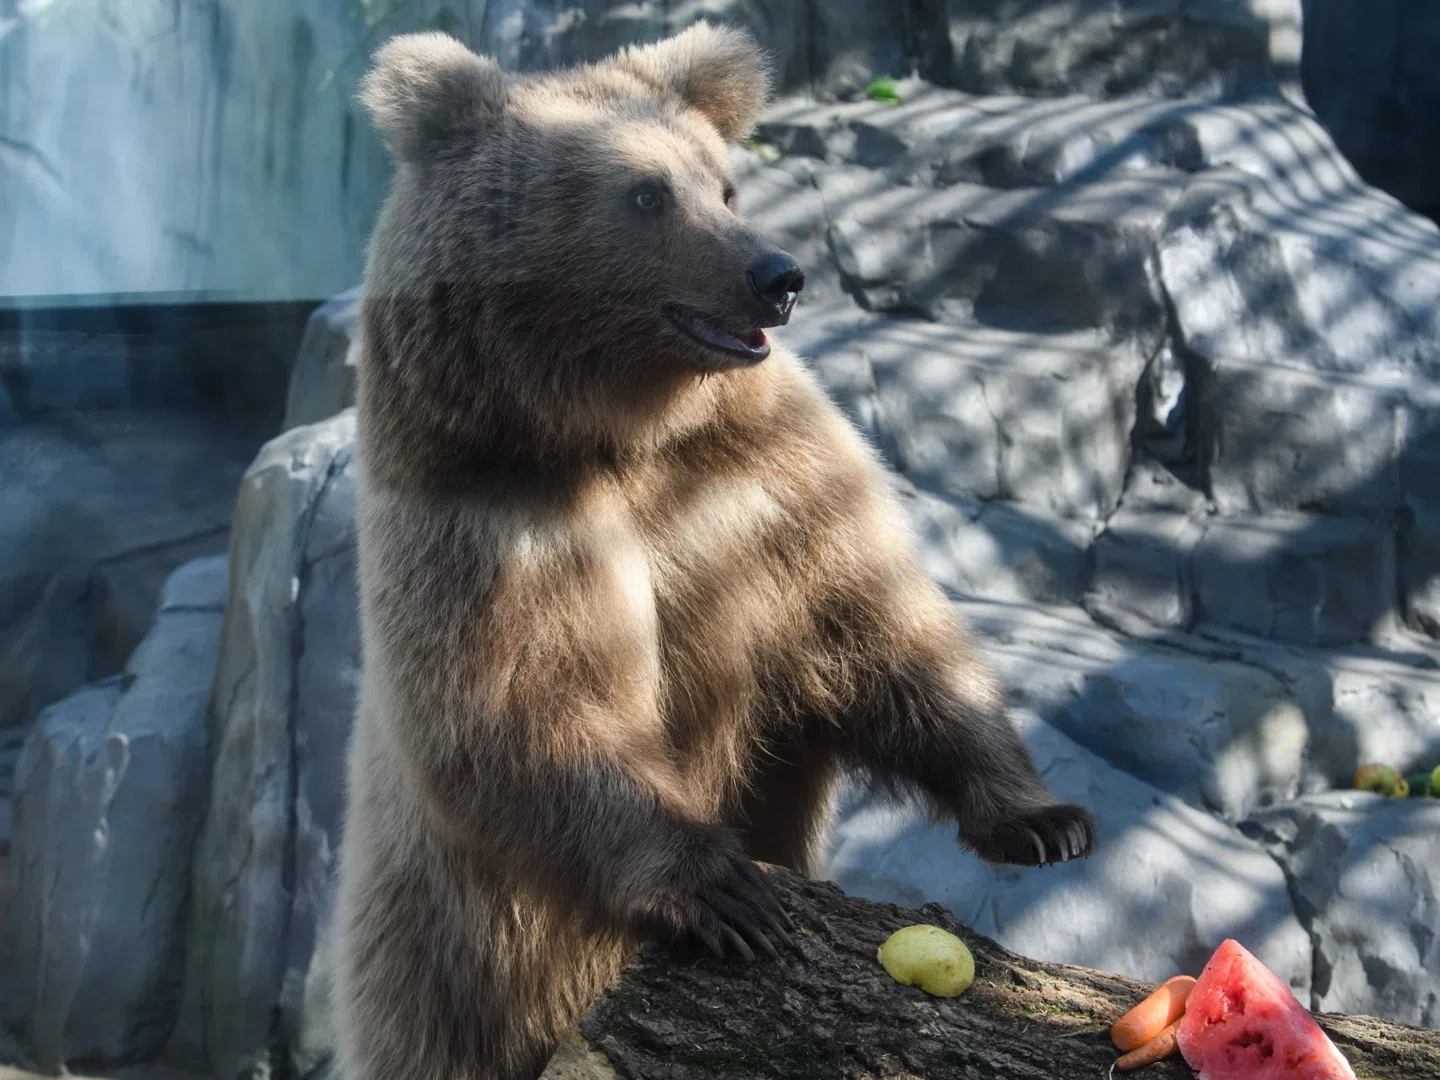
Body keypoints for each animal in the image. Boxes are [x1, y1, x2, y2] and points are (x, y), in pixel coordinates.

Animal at [333, 21, 1096, 1080]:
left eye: (725, 185)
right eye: (646, 194)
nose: (776, 274)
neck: (624, 428)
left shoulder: (764, 481)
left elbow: (877, 626)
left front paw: (1043, 817)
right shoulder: (490, 515)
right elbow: (524, 699)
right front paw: (728, 893)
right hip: (436, 979)